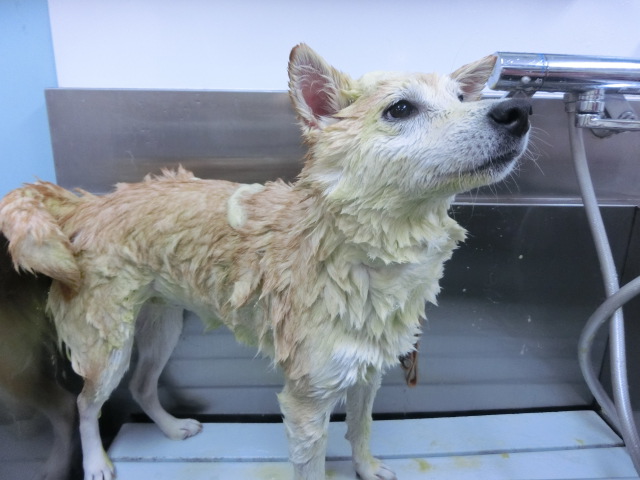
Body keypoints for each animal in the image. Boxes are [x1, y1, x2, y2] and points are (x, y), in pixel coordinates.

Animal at [0, 44, 530, 480]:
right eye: (401, 108)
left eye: (462, 98)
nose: (517, 110)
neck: (371, 255)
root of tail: (85, 204)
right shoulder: (306, 399)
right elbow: (312, 466)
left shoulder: (368, 370)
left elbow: (361, 429)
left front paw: (368, 468)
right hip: (108, 344)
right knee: (85, 403)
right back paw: (96, 463)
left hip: (161, 323)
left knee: (144, 386)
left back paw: (172, 429)